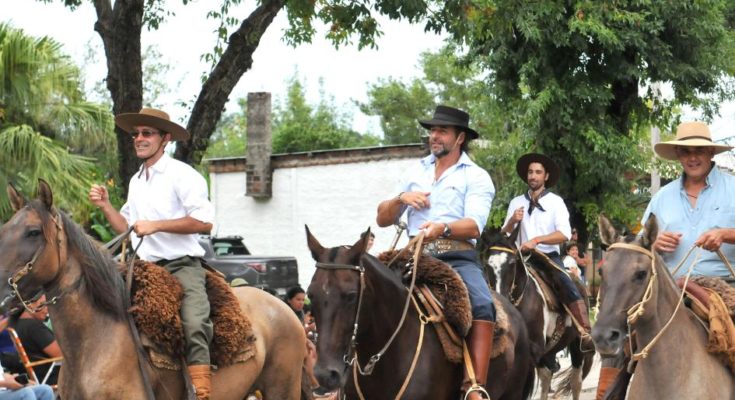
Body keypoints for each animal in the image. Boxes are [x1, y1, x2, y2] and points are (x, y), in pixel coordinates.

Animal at [488, 228, 600, 400]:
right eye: (488, 264)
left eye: (512, 263)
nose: (501, 298)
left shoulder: (533, 349)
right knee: (547, 378)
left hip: (576, 345)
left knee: (575, 381)